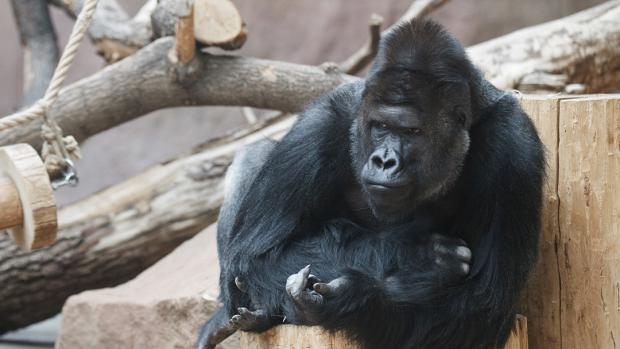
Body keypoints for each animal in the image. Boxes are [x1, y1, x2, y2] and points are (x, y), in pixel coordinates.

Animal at [197, 18, 544, 348]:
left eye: (412, 132)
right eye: (381, 126)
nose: (384, 161)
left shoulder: (515, 144)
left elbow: (480, 303)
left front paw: (355, 302)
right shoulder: (322, 121)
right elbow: (257, 258)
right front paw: (415, 254)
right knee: (253, 155)